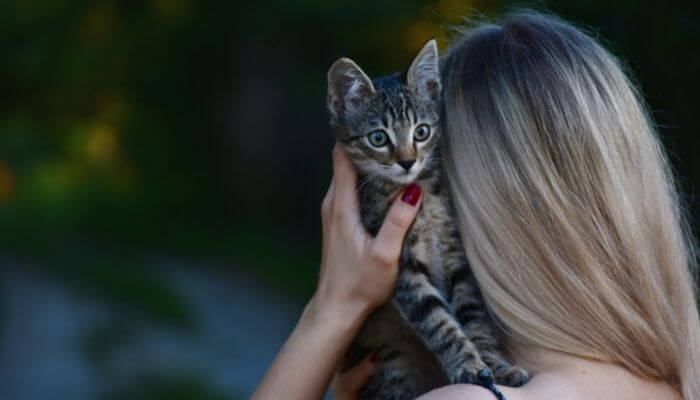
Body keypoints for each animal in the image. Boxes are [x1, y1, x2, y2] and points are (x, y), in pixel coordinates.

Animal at [328, 39, 532, 400]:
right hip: (390, 368)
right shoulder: (402, 267)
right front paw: (468, 367)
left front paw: (496, 366)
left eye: (421, 132)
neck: (421, 192)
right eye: (378, 138)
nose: (408, 161)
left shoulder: (457, 256)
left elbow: (474, 317)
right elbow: (438, 320)